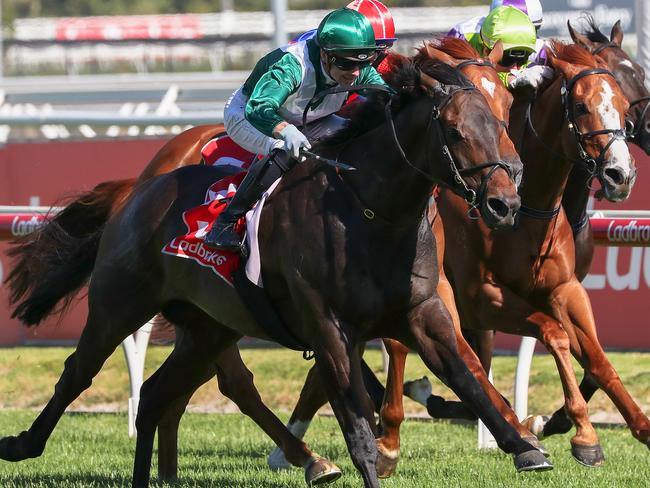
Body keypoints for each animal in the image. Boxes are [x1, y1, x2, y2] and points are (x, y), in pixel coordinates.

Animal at [2, 62, 548, 488]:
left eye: (501, 123)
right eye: (455, 132)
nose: (504, 203)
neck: (372, 212)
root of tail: (136, 192)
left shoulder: (422, 311)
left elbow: (468, 377)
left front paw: (524, 445)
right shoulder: (329, 329)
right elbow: (358, 431)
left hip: (208, 326)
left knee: (157, 395)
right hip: (119, 305)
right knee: (79, 373)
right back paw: (22, 443)